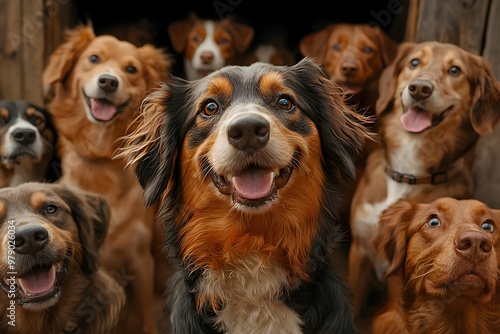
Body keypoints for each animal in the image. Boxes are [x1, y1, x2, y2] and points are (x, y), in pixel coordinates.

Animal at [40, 24, 172, 334]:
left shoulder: (141, 262)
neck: (100, 164)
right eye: (93, 58)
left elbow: (146, 321)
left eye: (131, 69)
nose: (109, 82)